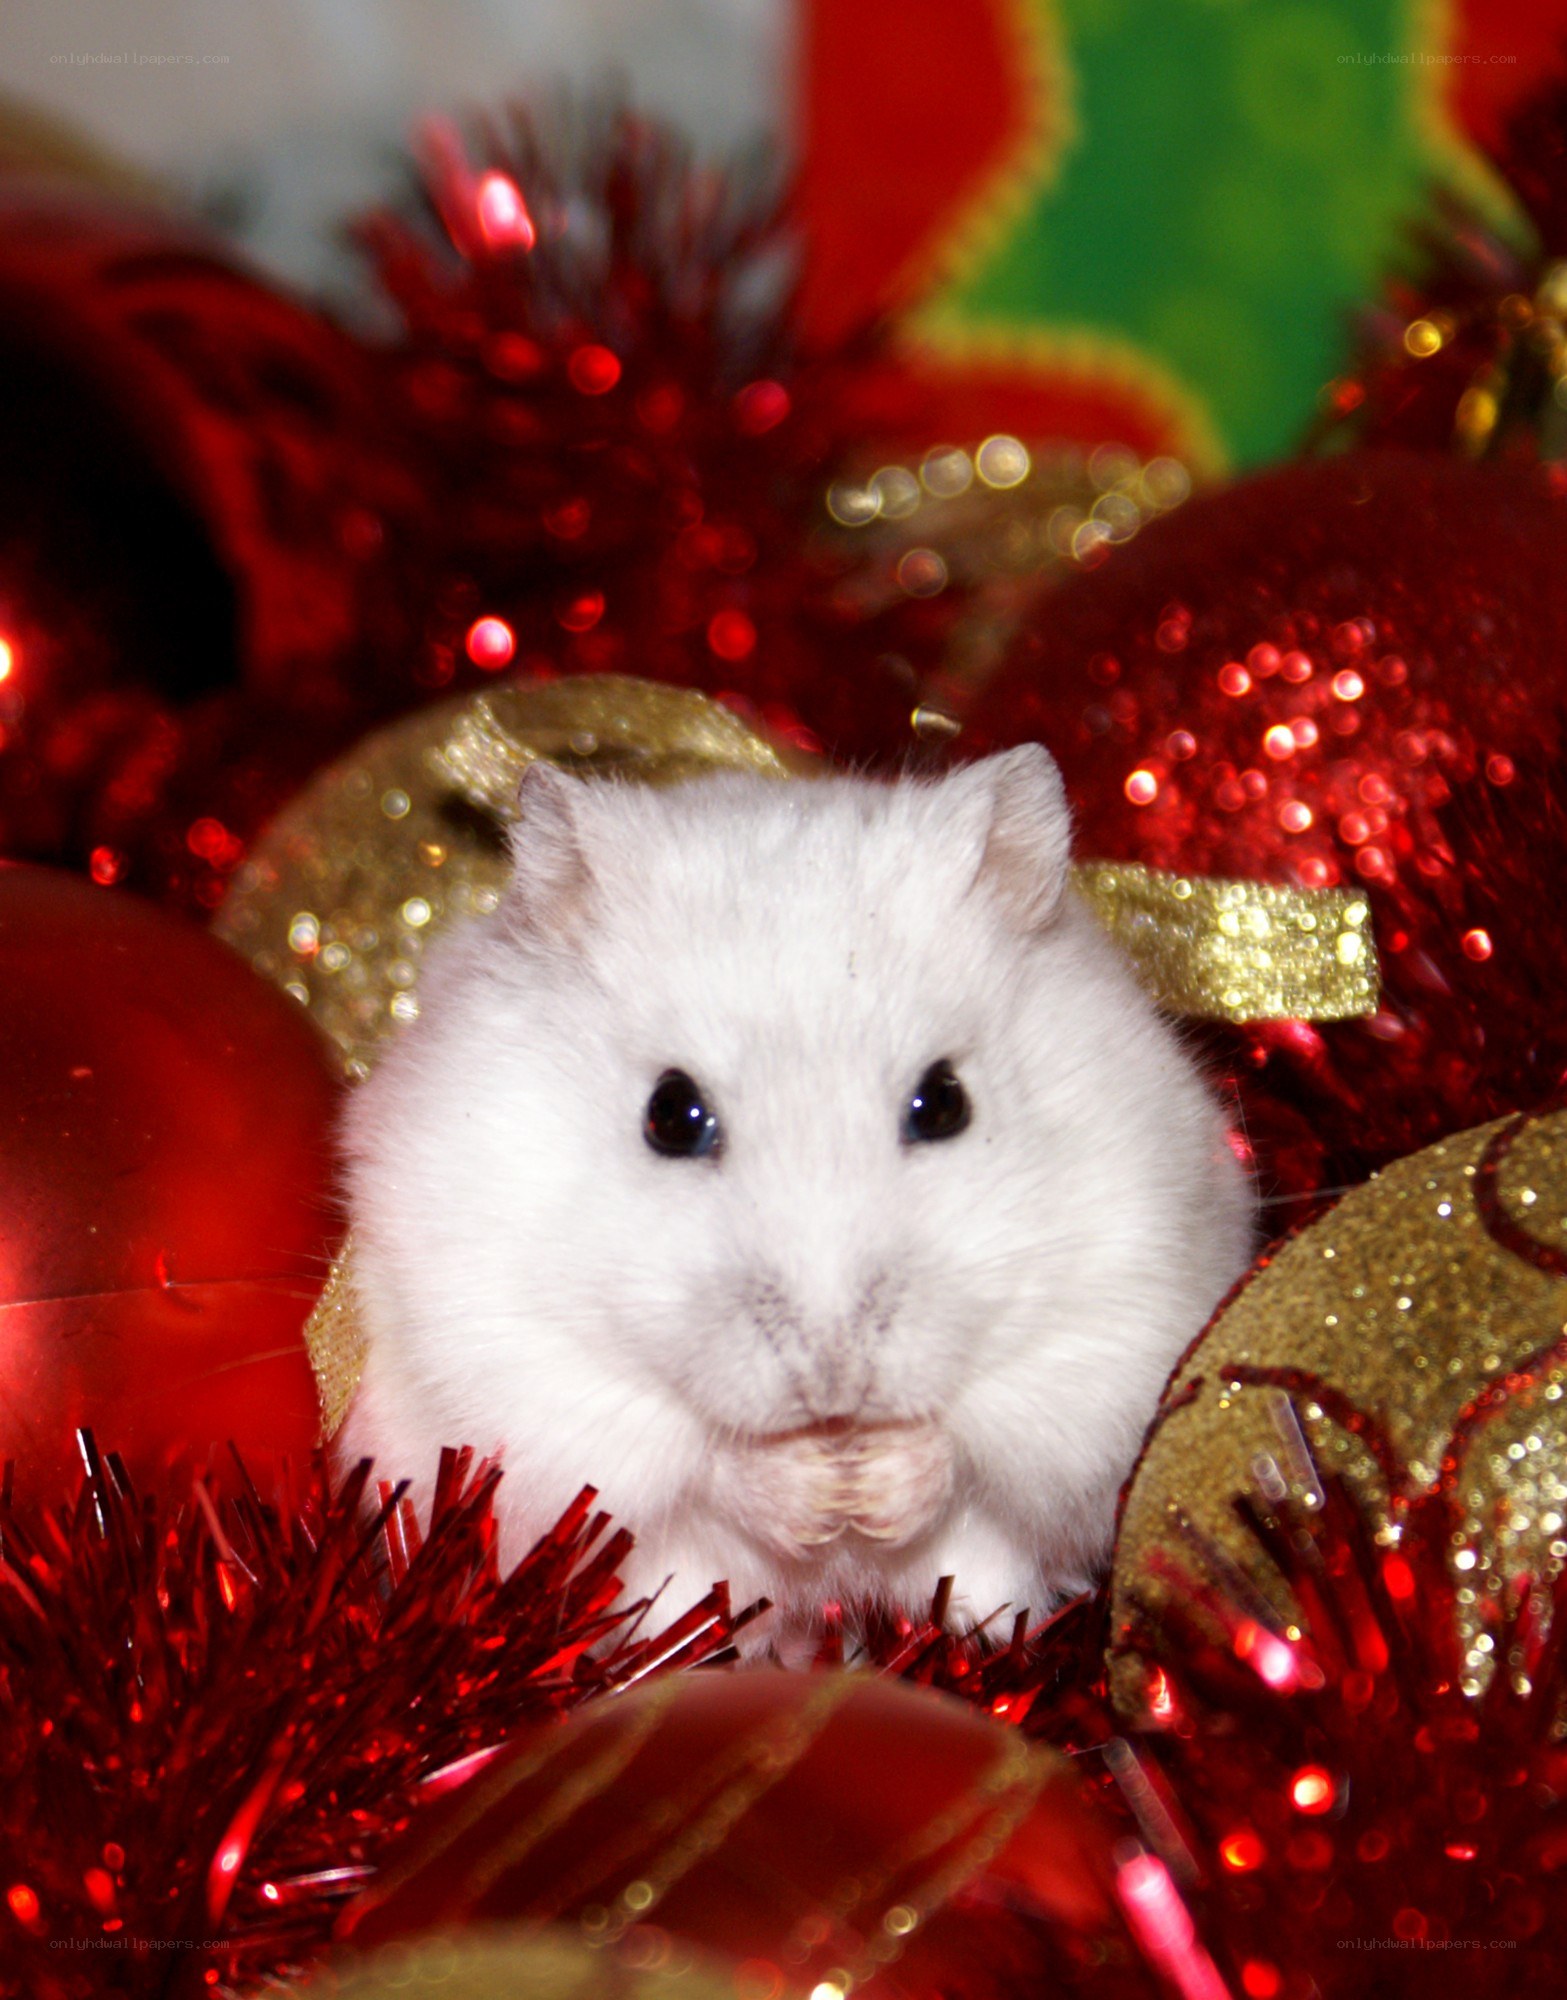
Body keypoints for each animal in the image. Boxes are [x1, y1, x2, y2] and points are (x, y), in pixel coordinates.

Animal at [337, 745, 1254, 1644]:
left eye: (944, 1102)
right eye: (670, 1115)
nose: (834, 1385)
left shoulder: (1109, 1330)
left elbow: (967, 1446)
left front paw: (870, 1491)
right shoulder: (524, 1367)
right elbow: (705, 1462)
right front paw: (819, 1497)